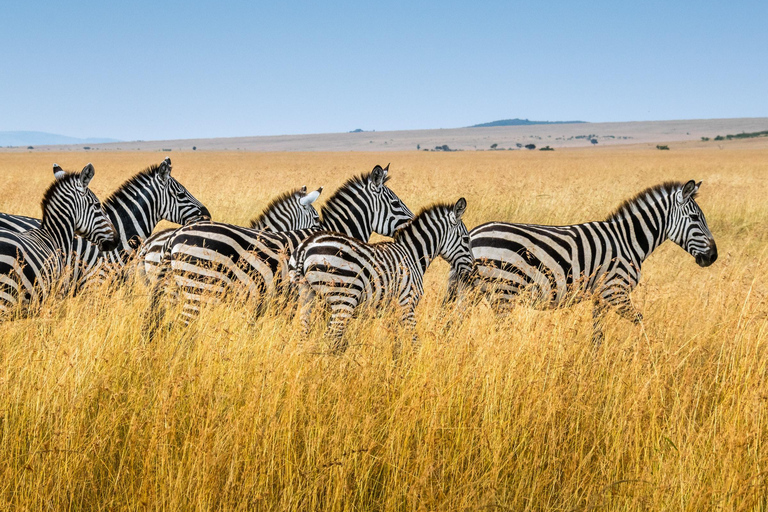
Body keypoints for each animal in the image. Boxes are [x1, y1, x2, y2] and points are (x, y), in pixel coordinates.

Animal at [292, 197, 472, 352]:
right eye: (465, 239)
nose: (471, 271)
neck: (413, 255)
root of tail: (306, 247)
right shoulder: (407, 304)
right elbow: (414, 341)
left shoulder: (393, 310)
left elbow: (397, 341)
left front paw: (396, 363)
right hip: (343, 299)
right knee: (331, 337)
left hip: (307, 295)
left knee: (303, 335)